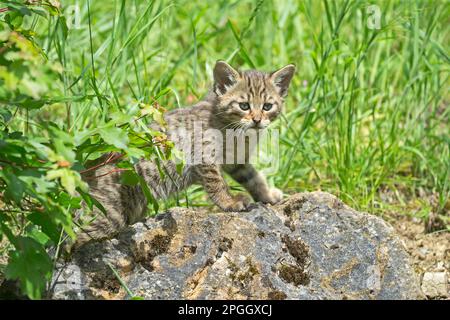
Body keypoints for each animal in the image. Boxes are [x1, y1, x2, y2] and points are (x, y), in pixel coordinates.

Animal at [73, 61, 296, 249]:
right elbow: (217, 183)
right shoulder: (204, 154)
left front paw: (267, 196)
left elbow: (254, 178)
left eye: (267, 106)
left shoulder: (237, 161)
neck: (237, 131)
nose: (257, 120)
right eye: (244, 106)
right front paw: (229, 202)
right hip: (109, 213)